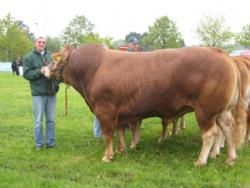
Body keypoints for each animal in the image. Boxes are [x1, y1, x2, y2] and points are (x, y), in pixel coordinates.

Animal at [44, 44, 239, 165]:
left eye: (55, 59)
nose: (43, 69)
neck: (94, 69)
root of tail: (219, 52)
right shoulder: (120, 112)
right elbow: (120, 131)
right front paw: (122, 149)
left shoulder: (104, 110)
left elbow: (108, 134)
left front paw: (108, 156)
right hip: (223, 111)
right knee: (227, 129)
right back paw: (230, 158)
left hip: (205, 111)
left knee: (210, 134)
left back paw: (201, 161)